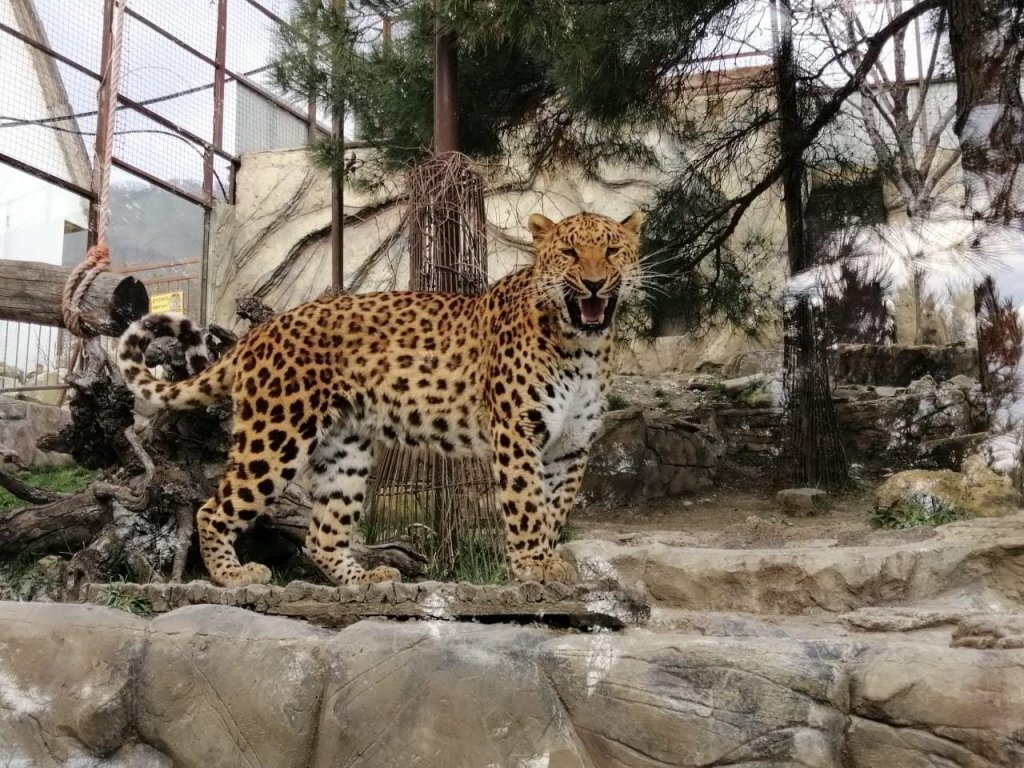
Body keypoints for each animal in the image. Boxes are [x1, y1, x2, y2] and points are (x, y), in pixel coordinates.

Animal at [117, 210, 638, 589]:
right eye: (569, 252)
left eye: (612, 250)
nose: (594, 283)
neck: (583, 345)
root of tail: (261, 331)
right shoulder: (518, 432)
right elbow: (528, 504)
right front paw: (535, 566)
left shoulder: (571, 447)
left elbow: (554, 508)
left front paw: (548, 560)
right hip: (276, 434)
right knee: (214, 508)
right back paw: (233, 576)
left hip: (344, 449)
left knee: (322, 535)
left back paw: (365, 579)